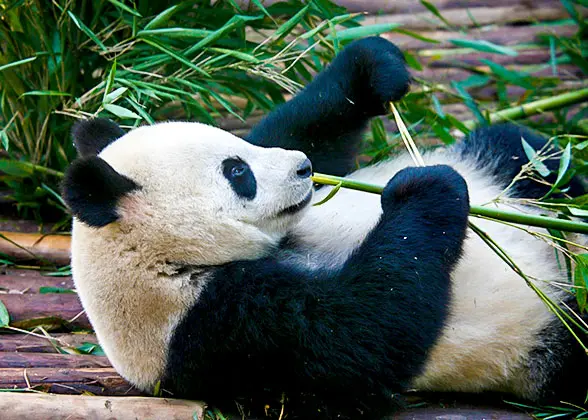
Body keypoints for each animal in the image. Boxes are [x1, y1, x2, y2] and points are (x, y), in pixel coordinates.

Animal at [62, 37, 584, 418]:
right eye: (237, 172)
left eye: (237, 148)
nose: (302, 169)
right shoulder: (222, 326)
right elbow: (364, 333)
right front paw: (427, 188)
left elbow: (305, 131)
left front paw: (373, 67)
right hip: (548, 342)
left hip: (509, 169)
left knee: (527, 153)